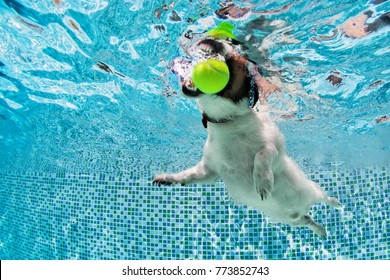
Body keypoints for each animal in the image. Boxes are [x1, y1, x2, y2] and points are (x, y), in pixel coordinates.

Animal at [152, 34, 342, 236]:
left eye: (234, 61)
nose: (212, 40)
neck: (229, 122)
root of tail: (301, 210)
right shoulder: (209, 171)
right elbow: (188, 175)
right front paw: (168, 178)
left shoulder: (274, 149)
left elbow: (262, 153)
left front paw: (263, 181)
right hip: (292, 220)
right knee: (308, 220)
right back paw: (320, 230)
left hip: (313, 190)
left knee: (324, 198)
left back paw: (335, 203)